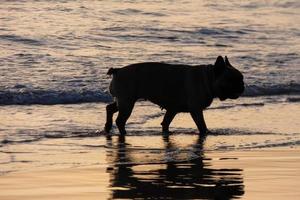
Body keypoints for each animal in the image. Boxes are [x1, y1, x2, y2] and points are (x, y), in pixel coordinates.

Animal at [103, 55, 244, 135]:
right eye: (231, 80)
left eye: (241, 78)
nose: (242, 85)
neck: (208, 78)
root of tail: (117, 71)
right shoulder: (196, 110)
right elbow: (202, 125)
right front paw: (206, 133)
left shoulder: (172, 110)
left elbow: (166, 122)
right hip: (127, 103)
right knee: (120, 120)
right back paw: (123, 132)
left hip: (123, 101)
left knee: (110, 108)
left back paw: (108, 127)